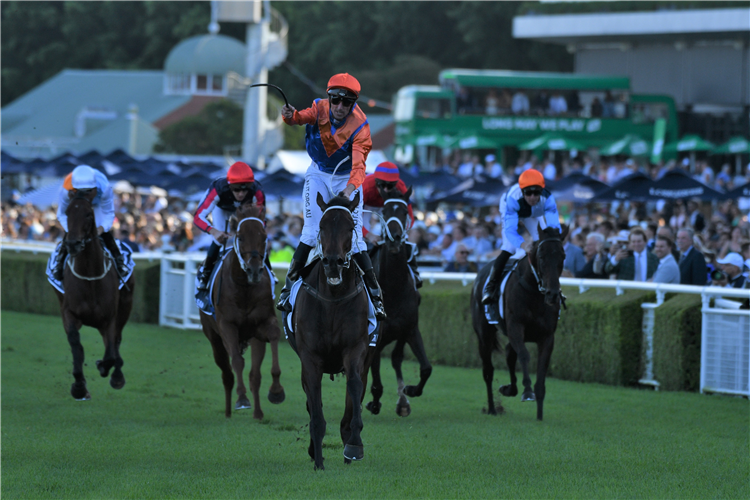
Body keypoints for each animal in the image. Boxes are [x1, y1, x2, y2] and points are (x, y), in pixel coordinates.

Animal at [54, 193, 135, 400]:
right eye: (67, 212)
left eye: (89, 214)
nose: (73, 244)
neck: (90, 276)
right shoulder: (68, 312)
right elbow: (76, 344)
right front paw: (79, 386)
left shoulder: (110, 317)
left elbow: (111, 353)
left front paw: (106, 368)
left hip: (125, 306)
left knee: (116, 341)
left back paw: (117, 374)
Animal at [200, 203, 284, 418]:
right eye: (240, 236)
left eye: (264, 236)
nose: (254, 271)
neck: (244, 288)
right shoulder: (226, 325)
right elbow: (237, 361)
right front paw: (242, 398)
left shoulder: (262, 324)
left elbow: (274, 336)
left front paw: (276, 391)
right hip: (214, 338)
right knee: (227, 373)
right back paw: (230, 409)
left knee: (255, 375)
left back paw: (258, 413)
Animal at [294, 191, 376, 468]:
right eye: (322, 226)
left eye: (351, 227)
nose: (332, 262)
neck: (332, 298)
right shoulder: (310, 358)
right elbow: (315, 409)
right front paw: (318, 460)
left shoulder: (356, 350)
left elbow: (354, 386)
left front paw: (354, 444)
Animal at [368, 188, 432, 418]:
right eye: (384, 211)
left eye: (404, 212)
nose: (394, 239)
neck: (394, 288)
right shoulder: (375, 335)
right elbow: (376, 382)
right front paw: (373, 403)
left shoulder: (410, 328)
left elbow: (426, 368)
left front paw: (410, 391)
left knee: (396, 358)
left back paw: (403, 401)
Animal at [470, 225, 568, 420]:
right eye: (541, 256)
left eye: (562, 256)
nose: (553, 294)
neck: (534, 291)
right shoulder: (516, 327)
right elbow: (524, 355)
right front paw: (527, 392)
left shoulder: (547, 337)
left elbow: (541, 368)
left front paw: (539, 415)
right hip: (484, 335)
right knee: (488, 370)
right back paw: (492, 408)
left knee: (509, 352)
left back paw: (509, 389)